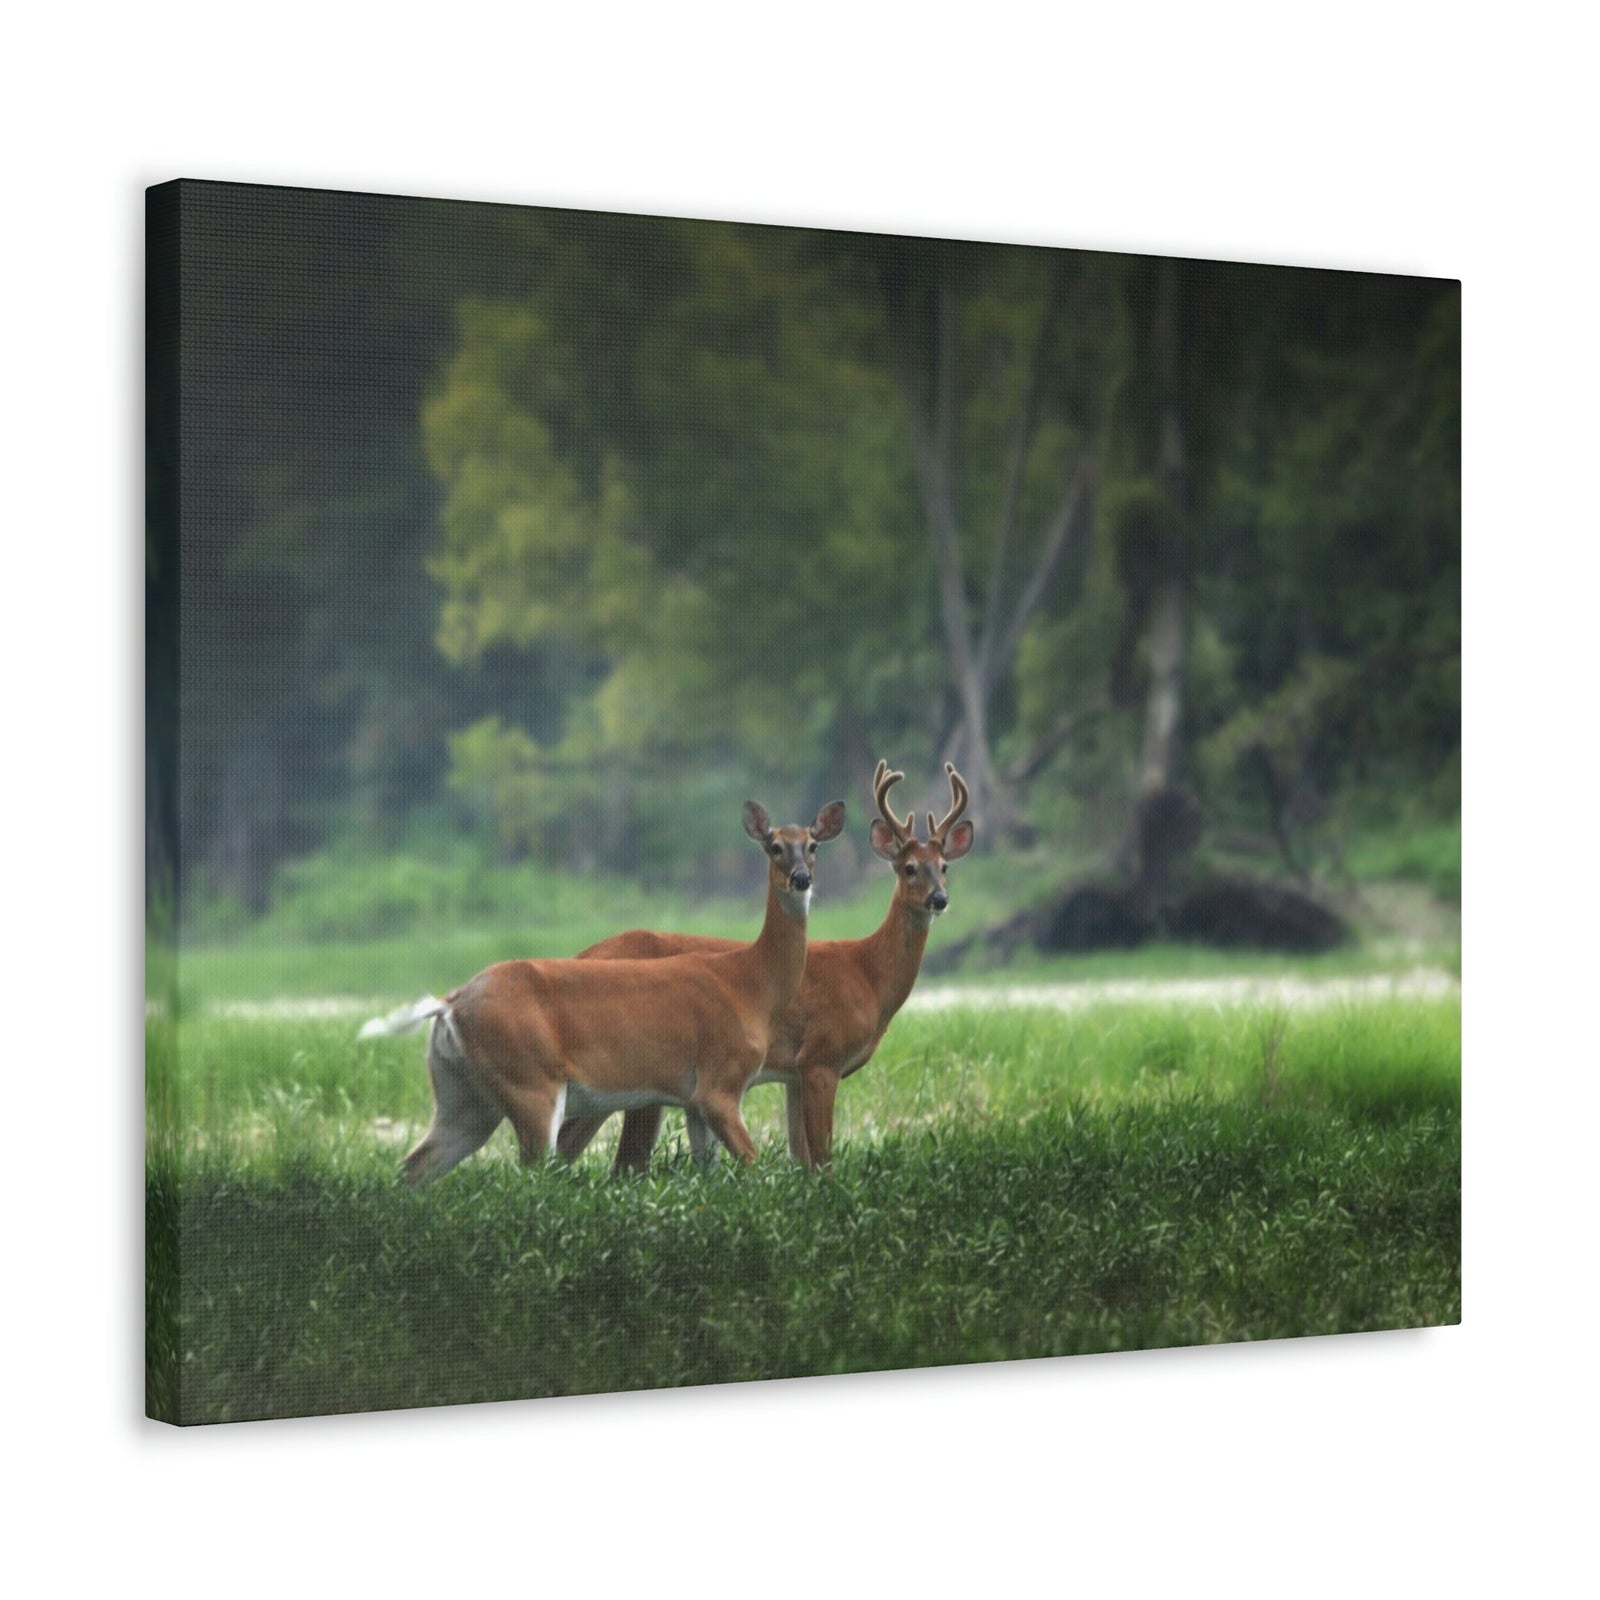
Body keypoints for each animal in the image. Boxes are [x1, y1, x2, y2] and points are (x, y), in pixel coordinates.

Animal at [359, 798, 846, 1183]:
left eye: (813, 845)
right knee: (528, 1173)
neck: (750, 983)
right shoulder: (719, 1083)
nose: (801, 878)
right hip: (529, 1082)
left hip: (464, 1096)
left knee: (416, 1166)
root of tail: (450, 1003)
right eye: (774, 846)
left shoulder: (693, 1101)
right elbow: (753, 1165)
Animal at [557, 761, 974, 1171]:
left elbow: (801, 1156)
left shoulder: (794, 1075)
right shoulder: (821, 1055)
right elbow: (822, 1157)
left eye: (944, 867)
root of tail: (580, 955)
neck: (867, 974)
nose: (939, 899)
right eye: (909, 868)